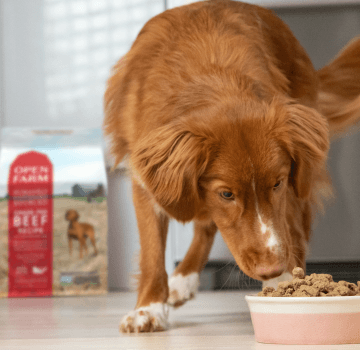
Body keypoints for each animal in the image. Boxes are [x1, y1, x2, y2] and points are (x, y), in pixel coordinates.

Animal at [104, 0, 360, 332]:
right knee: (204, 223)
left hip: (304, 174)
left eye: (276, 184)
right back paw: (183, 280)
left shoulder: (289, 186)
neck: (212, 80)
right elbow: (152, 252)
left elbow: (287, 231)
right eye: (226, 194)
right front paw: (148, 308)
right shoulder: (147, 179)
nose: (270, 268)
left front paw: (286, 285)